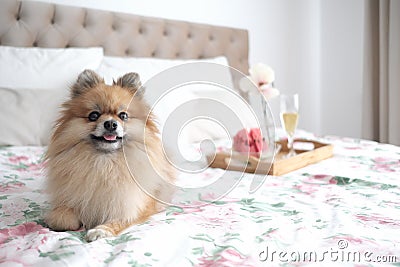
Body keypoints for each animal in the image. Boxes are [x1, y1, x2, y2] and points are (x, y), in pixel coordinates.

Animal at [45, 70, 175, 242]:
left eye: (123, 116)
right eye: (94, 115)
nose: (111, 124)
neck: (105, 162)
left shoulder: (133, 206)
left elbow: (118, 220)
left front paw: (100, 230)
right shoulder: (68, 198)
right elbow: (60, 219)